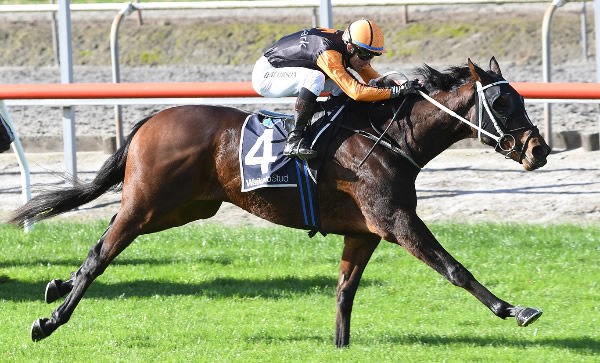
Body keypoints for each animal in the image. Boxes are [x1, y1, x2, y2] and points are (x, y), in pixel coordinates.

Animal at [9, 58, 552, 348]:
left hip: (182, 208)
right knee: (101, 254)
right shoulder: (396, 221)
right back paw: (49, 322)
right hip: (147, 203)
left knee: (101, 240)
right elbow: (455, 268)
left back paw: (57, 285)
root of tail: (151, 119)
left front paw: (340, 346)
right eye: (502, 102)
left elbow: (345, 291)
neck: (389, 137)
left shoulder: (364, 232)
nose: (539, 150)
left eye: (522, 98)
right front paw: (514, 309)